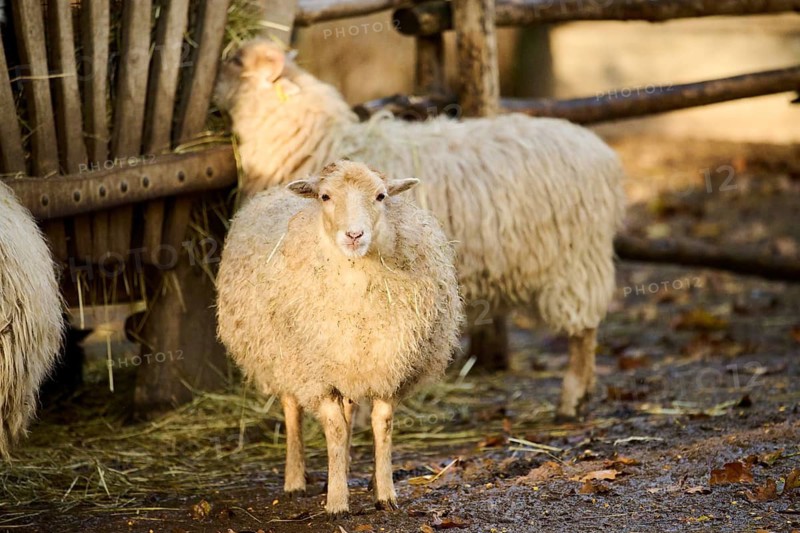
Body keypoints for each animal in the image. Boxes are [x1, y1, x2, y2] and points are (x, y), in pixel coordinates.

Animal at [214, 40, 627, 419]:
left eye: (235, 61)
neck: (316, 137)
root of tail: (601, 153)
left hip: (574, 260)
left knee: (584, 330)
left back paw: (572, 397)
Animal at [216, 160, 463, 514]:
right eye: (325, 196)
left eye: (381, 195)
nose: (354, 235)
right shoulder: (317, 375)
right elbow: (334, 429)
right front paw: (336, 501)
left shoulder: (388, 364)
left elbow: (381, 424)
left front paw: (385, 493)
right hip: (284, 360)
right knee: (292, 410)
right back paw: (295, 481)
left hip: (349, 362)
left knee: (349, 412)